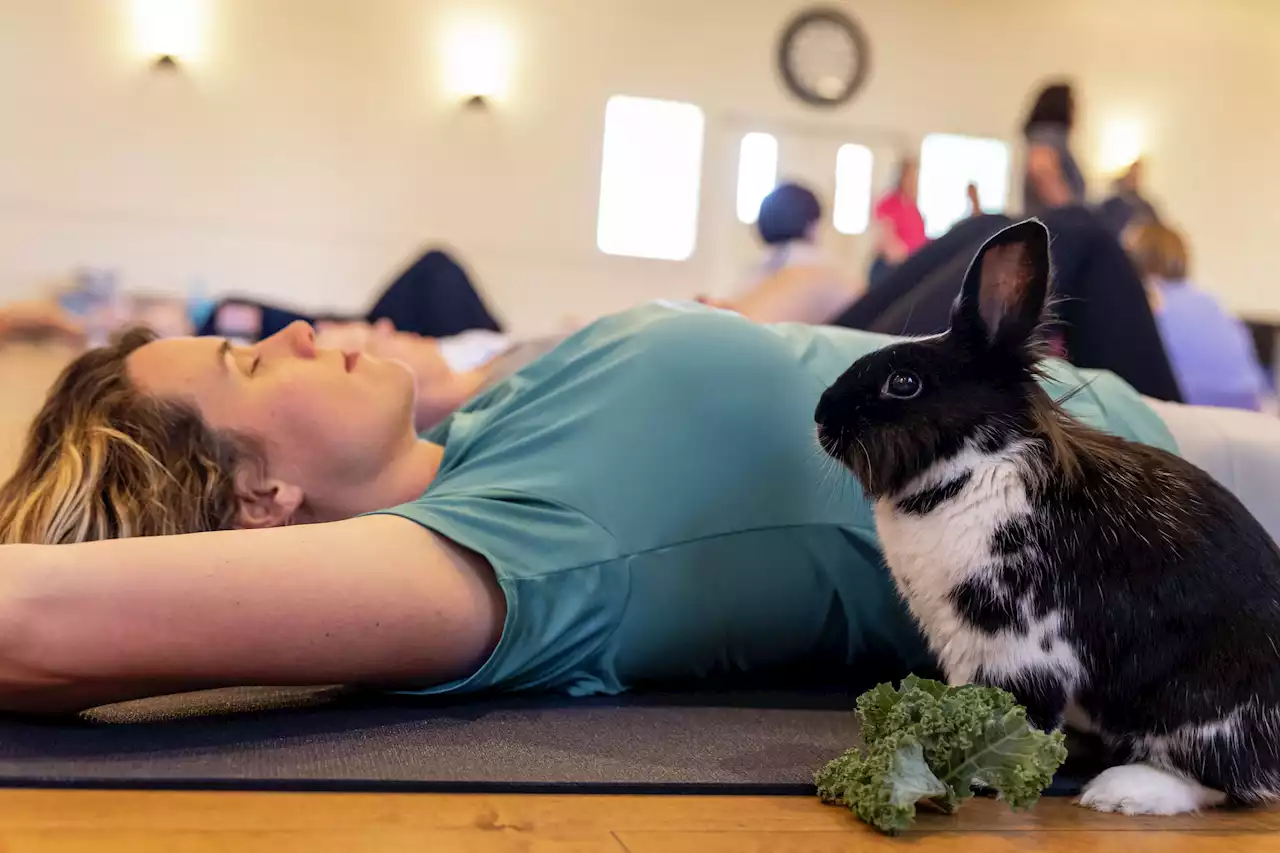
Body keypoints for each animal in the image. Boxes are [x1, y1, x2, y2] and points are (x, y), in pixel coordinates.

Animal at [814, 217, 1274, 809]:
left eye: (904, 383)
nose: (821, 416)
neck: (976, 463)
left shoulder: (1015, 644)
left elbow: (1013, 713)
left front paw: (976, 769)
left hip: (1200, 703)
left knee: (1219, 778)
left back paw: (1119, 792)